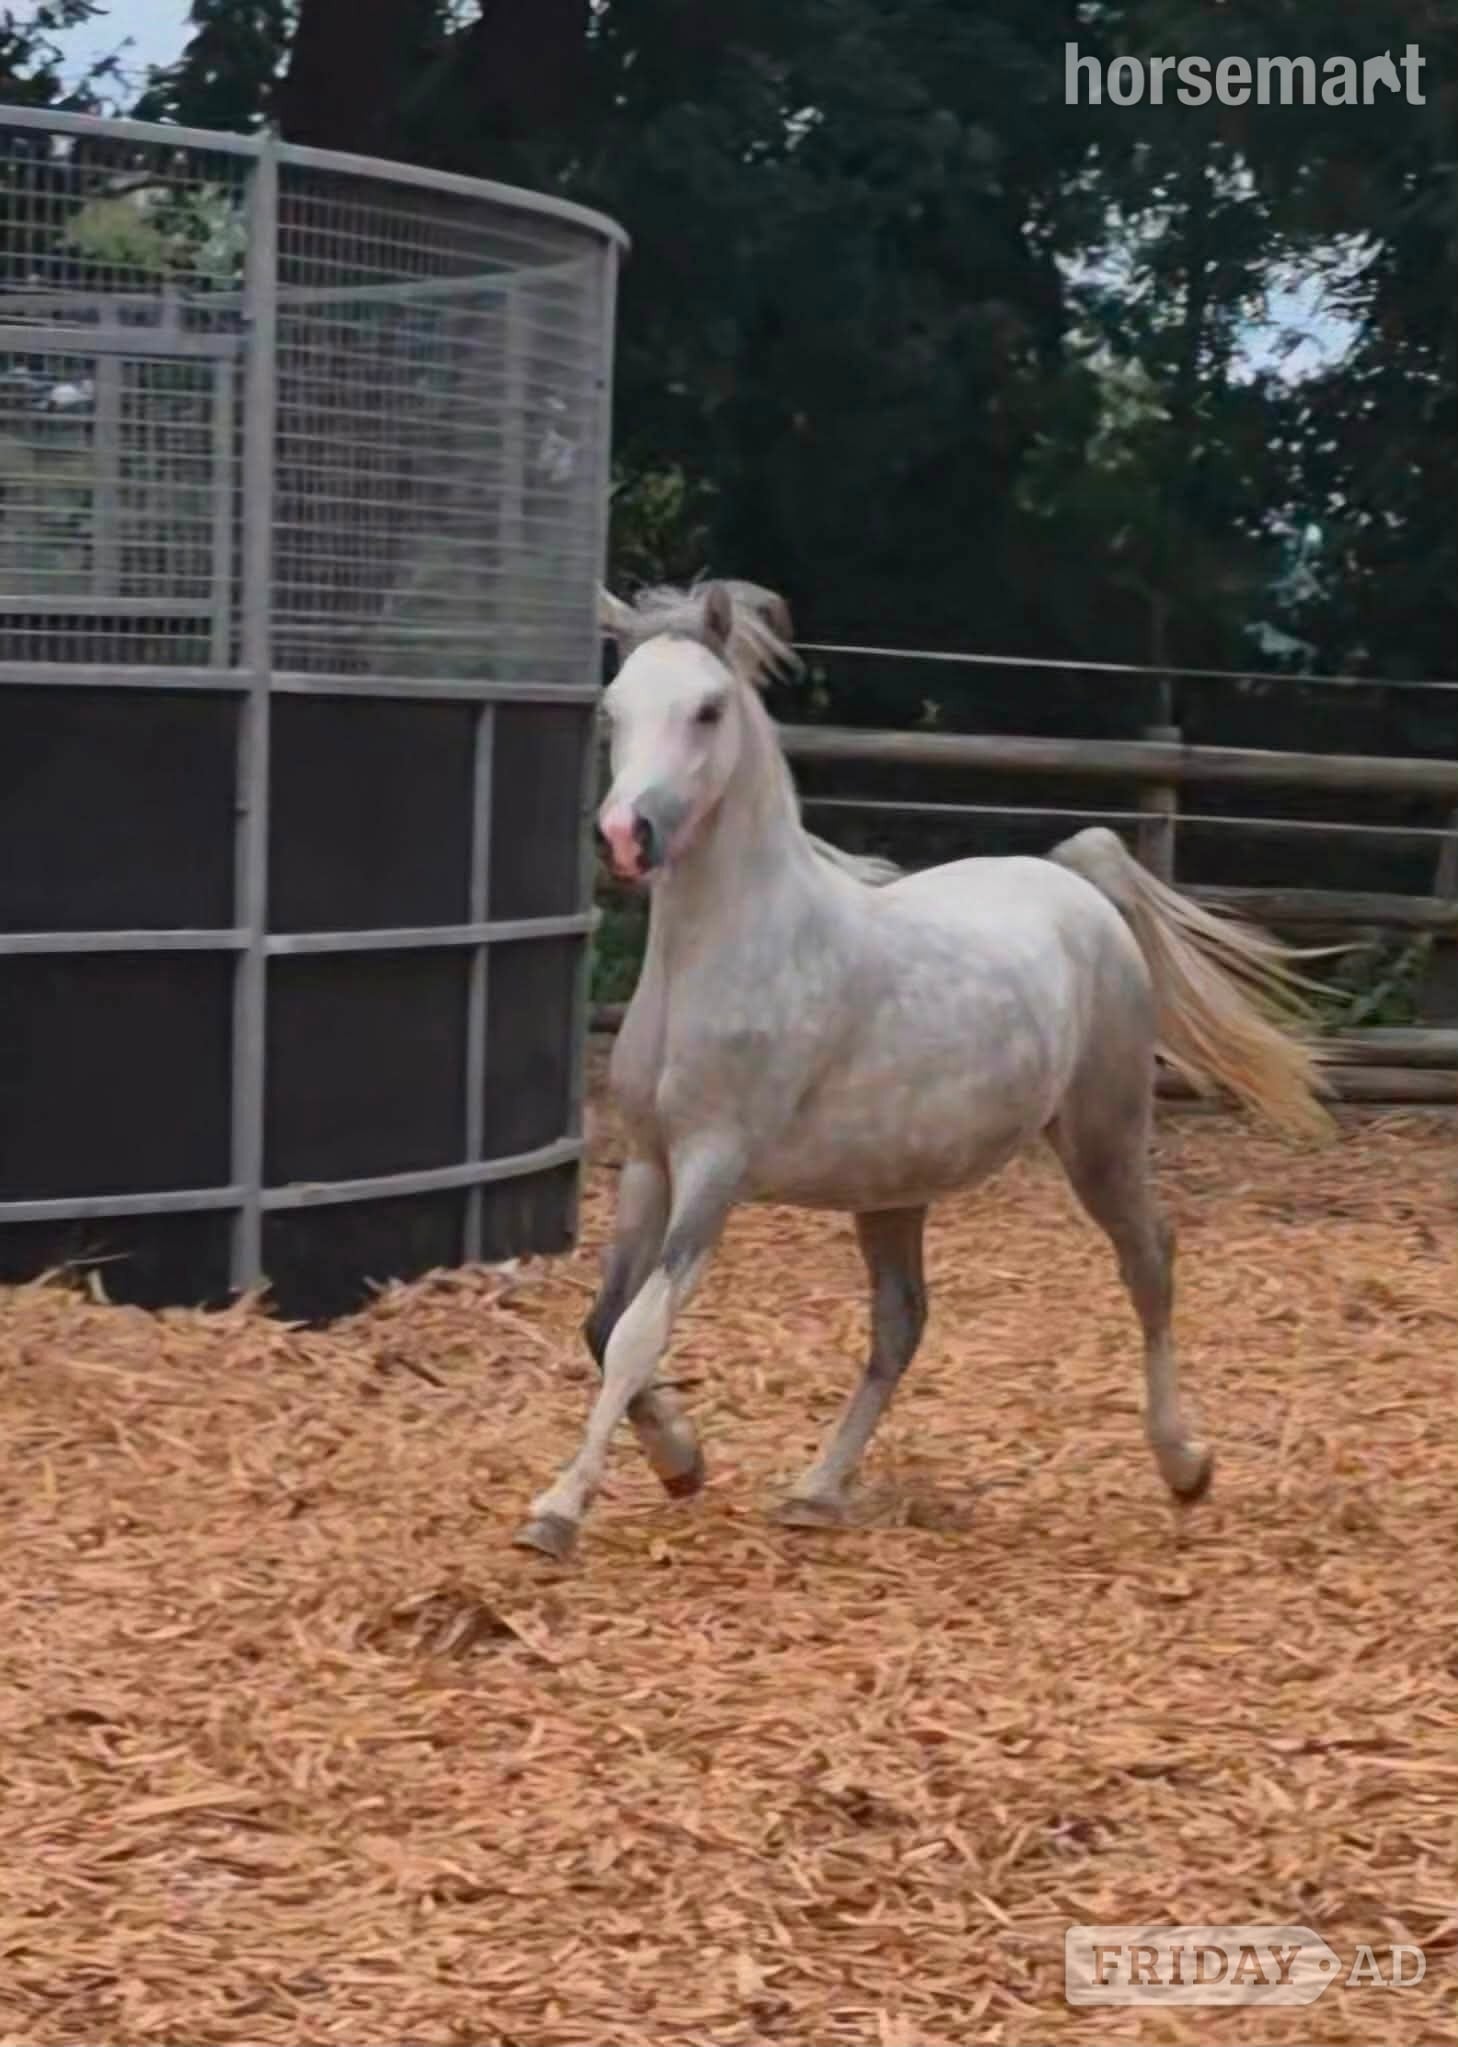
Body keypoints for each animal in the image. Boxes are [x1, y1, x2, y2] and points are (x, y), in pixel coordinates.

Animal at [512, 579, 1332, 1561]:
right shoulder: (649, 1161)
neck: (728, 952)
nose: (624, 836)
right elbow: (603, 1323)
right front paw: (681, 1458)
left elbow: (639, 1329)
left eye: (707, 709)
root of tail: (1077, 884)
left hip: (1103, 1132)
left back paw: (1184, 1464)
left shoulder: (716, 1164)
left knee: (1150, 1263)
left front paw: (558, 1509)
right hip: (893, 1187)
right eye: (613, 709)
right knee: (902, 1322)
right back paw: (816, 1489)